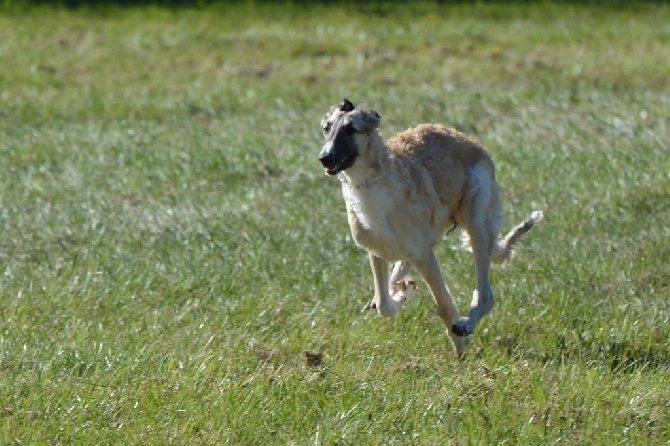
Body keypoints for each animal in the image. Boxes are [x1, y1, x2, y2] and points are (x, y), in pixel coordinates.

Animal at [320, 99, 544, 358]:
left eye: (351, 129)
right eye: (327, 128)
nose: (325, 157)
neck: (374, 184)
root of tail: (468, 140)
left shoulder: (423, 255)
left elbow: (443, 304)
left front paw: (460, 345)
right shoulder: (378, 251)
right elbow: (384, 303)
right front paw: (400, 294)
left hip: (476, 217)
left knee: (485, 295)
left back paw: (466, 323)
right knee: (397, 273)